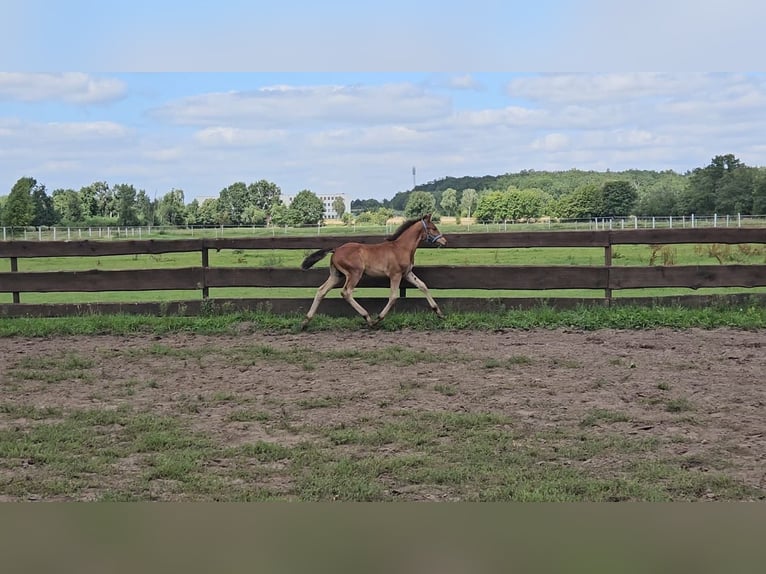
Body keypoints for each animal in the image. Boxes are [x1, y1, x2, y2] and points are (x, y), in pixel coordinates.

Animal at [299, 213, 447, 329]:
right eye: (433, 228)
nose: (444, 241)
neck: (401, 248)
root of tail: (335, 250)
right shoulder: (396, 275)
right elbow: (393, 296)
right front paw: (379, 318)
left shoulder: (407, 273)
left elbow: (423, 286)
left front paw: (439, 313)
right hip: (354, 273)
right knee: (346, 292)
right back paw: (368, 319)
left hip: (336, 275)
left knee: (321, 290)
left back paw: (305, 321)